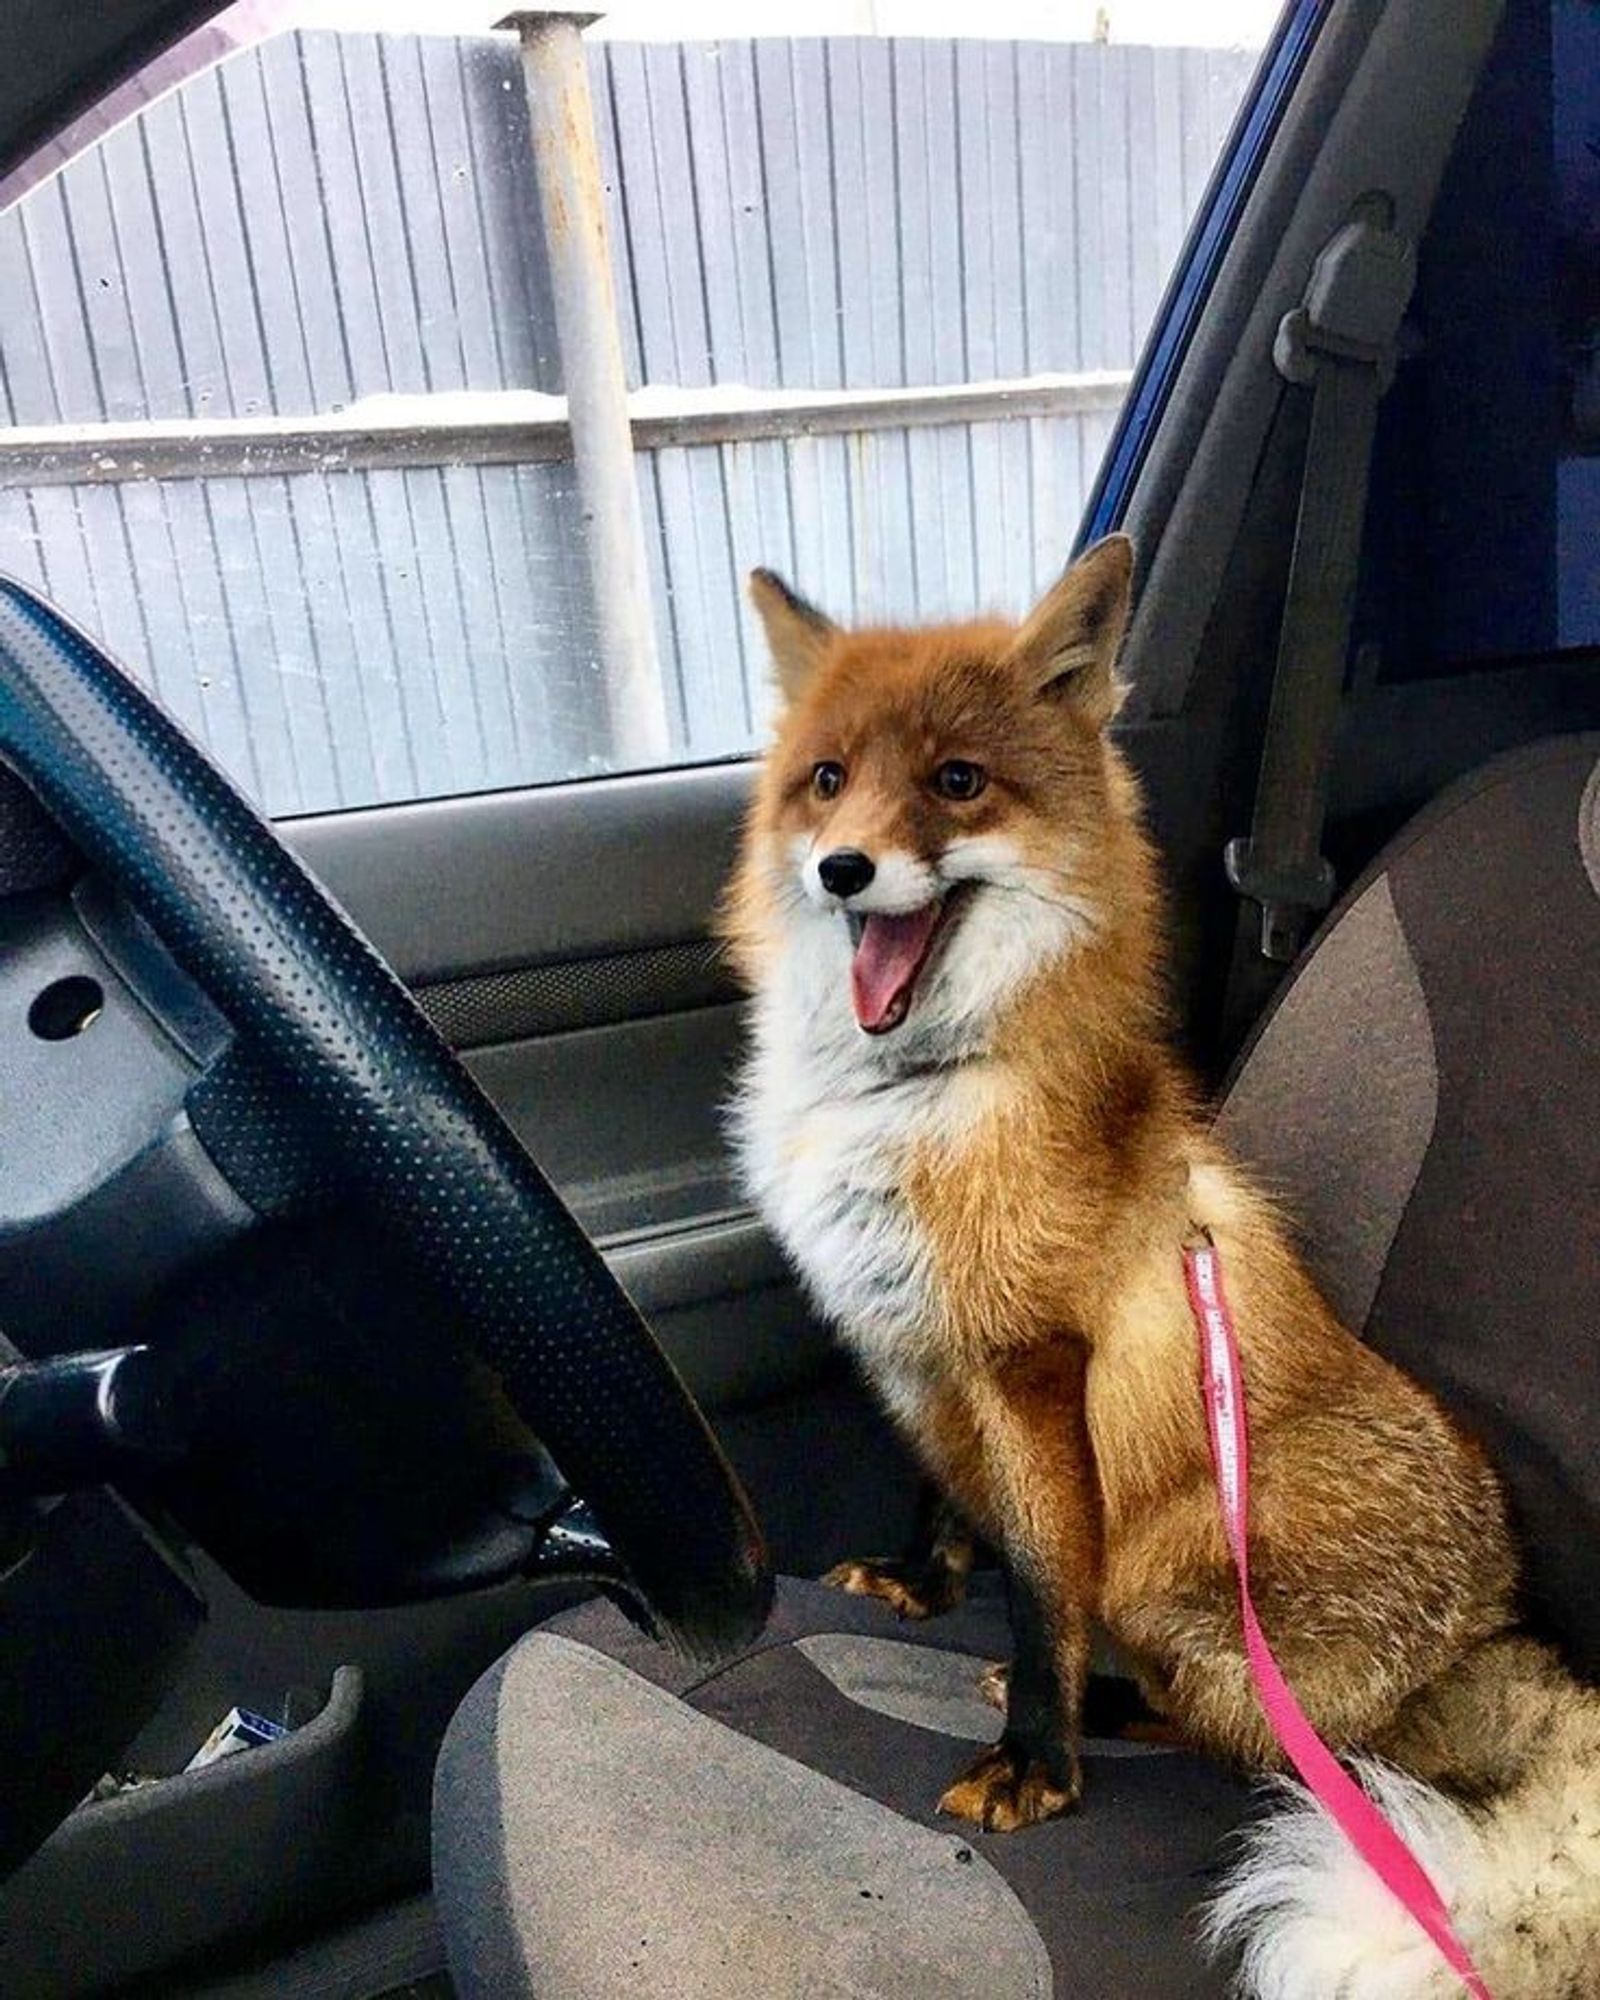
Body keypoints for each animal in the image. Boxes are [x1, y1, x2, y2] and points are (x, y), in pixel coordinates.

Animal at [720, 532, 1600, 2000]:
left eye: (956, 782)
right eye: (829, 779)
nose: (842, 868)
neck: (916, 1092)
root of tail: (1489, 1630)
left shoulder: (1030, 1366)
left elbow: (1037, 1595)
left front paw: (1038, 1756)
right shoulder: (929, 1349)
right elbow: (941, 1497)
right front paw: (922, 1584)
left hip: (1172, 1568)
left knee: (1273, 1746)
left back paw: (1116, 1706)